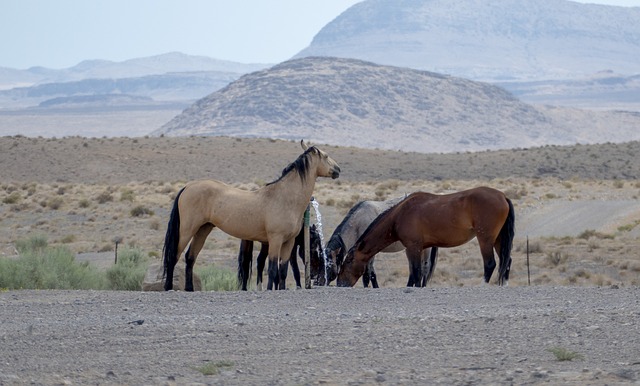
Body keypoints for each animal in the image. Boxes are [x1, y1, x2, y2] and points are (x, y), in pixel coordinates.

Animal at [162, 140, 340, 292]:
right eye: (325, 156)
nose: (338, 170)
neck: (284, 197)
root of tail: (188, 186)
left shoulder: (288, 243)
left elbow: (282, 271)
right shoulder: (275, 240)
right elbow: (273, 269)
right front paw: (269, 289)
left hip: (203, 230)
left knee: (190, 257)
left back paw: (189, 289)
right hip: (187, 230)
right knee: (174, 255)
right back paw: (168, 287)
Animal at [336, 187, 516, 286]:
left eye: (348, 261)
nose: (340, 284)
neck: (400, 214)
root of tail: (502, 196)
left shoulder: (412, 247)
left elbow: (415, 272)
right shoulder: (422, 248)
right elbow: (418, 272)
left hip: (485, 239)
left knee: (490, 264)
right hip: (499, 239)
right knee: (506, 261)